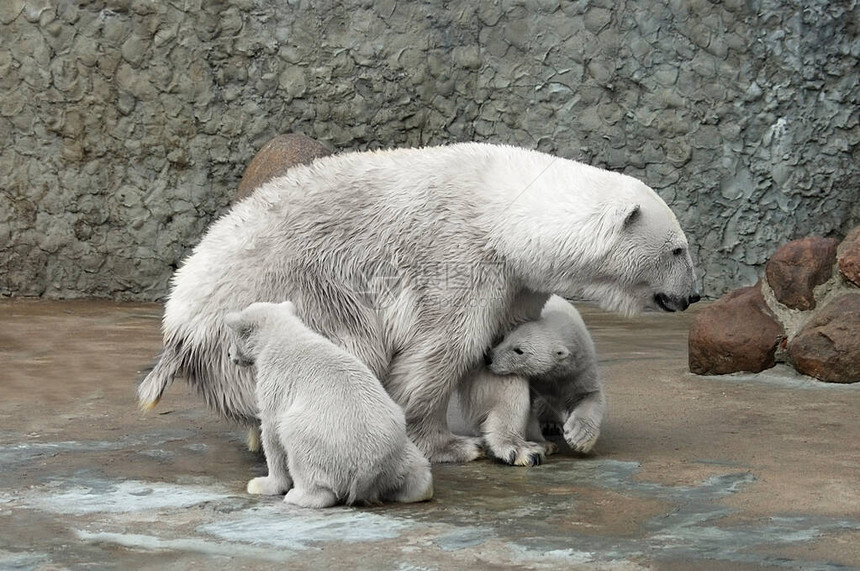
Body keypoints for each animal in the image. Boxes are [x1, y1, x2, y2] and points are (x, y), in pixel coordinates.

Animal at [139, 144, 700, 464]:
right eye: (678, 248)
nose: (693, 295)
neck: (504, 211)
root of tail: (176, 328)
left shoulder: (515, 282)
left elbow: (495, 359)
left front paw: (521, 446)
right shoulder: (456, 255)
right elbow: (442, 348)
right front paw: (451, 446)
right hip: (301, 294)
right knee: (344, 351)